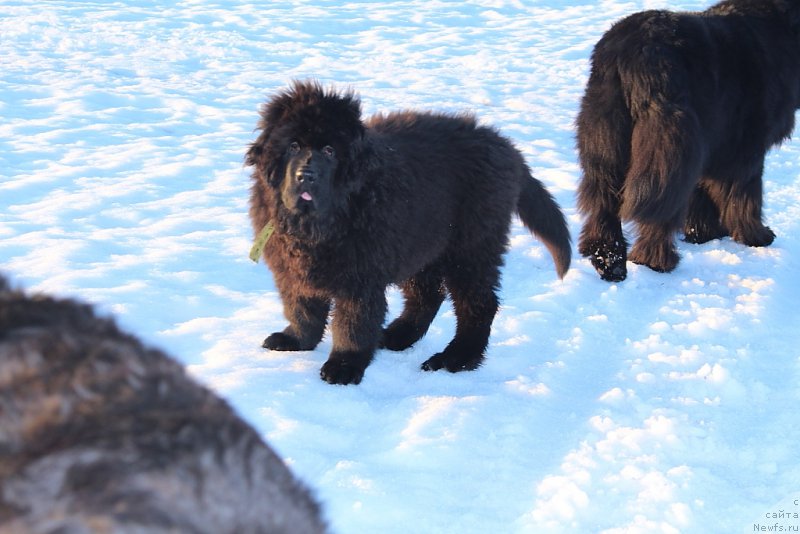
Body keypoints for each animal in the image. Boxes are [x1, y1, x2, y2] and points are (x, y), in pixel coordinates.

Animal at [247, 80, 572, 386]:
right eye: (293, 146)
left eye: (329, 151)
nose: (306, 176)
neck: (320, 222)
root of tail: (507, 148)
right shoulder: (293, 269)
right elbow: (302, 308)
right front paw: (296, 340)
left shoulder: (360, 277)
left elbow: (352, 323)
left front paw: (344, 366)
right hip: (421, 243)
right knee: (427, 295)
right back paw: (397, 336)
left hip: (470, 247)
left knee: (478, 304)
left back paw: (456, 358)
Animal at [576, 0, 800, 282]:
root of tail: (630, 55)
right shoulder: (745, 149)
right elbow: (746, 194)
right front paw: (756, 236)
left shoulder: (712, 144)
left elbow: (703, 193)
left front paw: (703, 233)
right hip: (668, 150)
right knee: (659, 209)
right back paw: (656, 261)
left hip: (606, 144)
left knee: (603, 202)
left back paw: (608, 260)